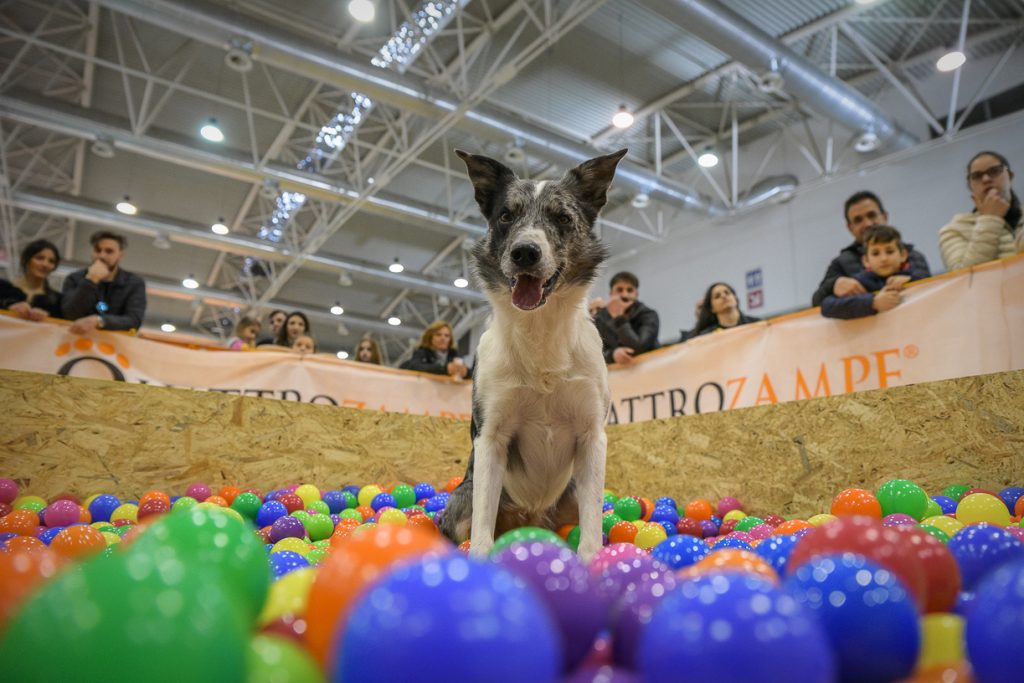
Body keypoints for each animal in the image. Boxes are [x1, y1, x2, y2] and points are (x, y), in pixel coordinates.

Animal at [438, 148, 626, 561]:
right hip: (462, 498)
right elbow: (481, 532)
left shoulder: (592, 437)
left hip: (570, 494)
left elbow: (591, 529)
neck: (539, 331)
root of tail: (532, 516)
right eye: (506, 216)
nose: (525, 252)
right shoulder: (491, 438)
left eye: (562, 218)